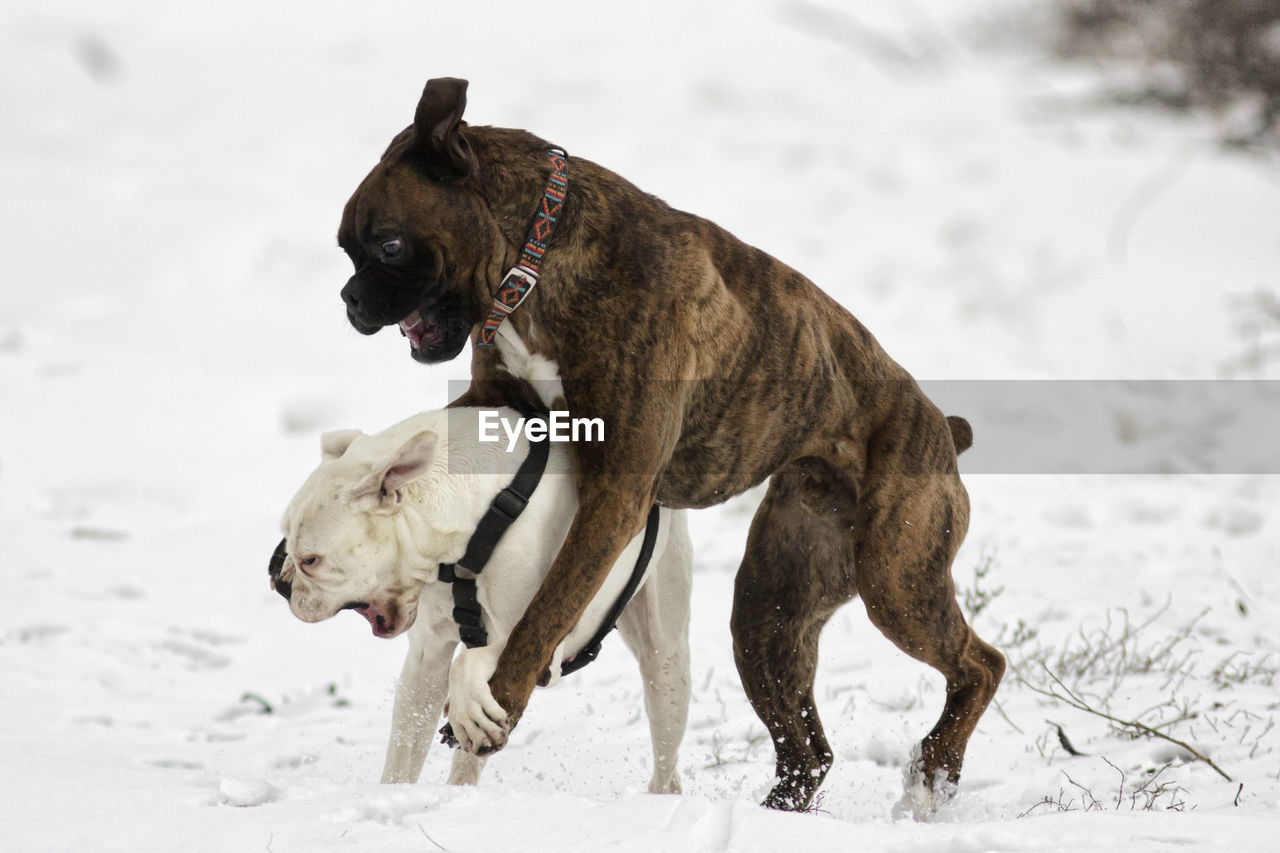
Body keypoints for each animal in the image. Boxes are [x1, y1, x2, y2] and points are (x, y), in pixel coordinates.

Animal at [268, 407, 691, 788]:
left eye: (311, 560)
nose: (282, 583)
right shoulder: (426, 658)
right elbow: (406, 743)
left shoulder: (543, 648)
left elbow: (470, 662)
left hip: (665, 665)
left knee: (666, 760)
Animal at [335, 76, 1003, 809]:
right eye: (346, 249)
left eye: (388, 245)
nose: (349, 299)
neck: (539, 255)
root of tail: (942, 426)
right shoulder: (496, 406)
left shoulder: (615, 494)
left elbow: (546, 609)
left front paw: (497, 703)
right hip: (770, 613)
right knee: (809, 750)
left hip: (896, 580)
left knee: (982, 664)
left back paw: (935, 770)